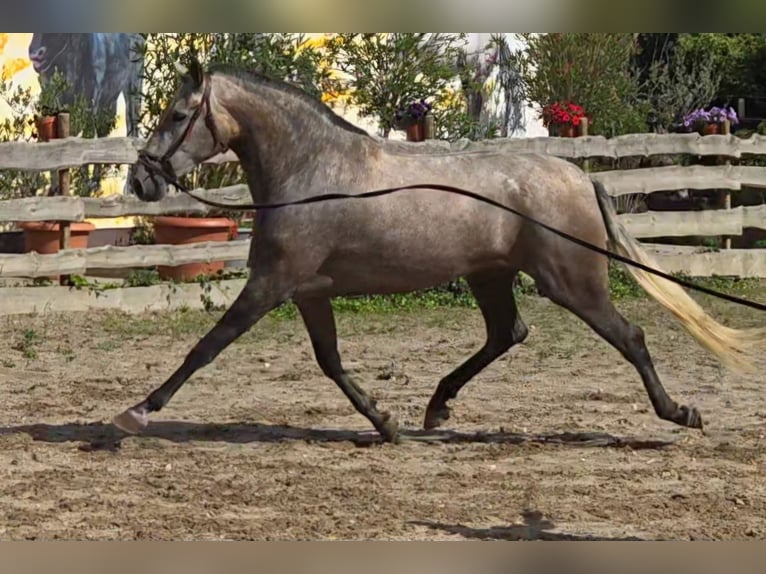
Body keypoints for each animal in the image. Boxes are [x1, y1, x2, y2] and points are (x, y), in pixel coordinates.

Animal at [112, 58, 760, 444]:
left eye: (177, 113)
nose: (141, 181)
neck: (313, 172)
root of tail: (579, 177)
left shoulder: (270, 286)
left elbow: (206, 347)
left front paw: (137, 411)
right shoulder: (306, 292)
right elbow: (330, 362)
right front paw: (385, 421)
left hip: (572, 282)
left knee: (629, 336)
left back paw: (678, 412)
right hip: (490, 277)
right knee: (507, 333)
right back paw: (436, 408)